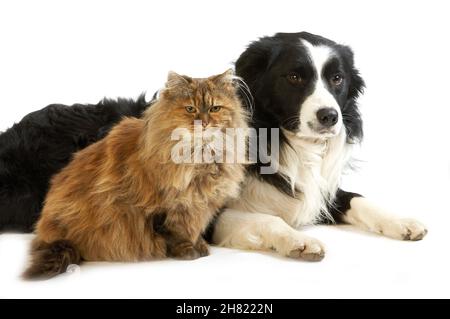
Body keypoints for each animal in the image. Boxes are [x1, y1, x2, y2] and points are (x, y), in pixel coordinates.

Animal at [23, 70, 250, 280]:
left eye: (214, 108)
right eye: (190, 109)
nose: (203, 123)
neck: (200, 159)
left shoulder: (200, 205)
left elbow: (193, 227)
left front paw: (200, 245)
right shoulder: (165, 207)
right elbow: (176, 233)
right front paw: (188, 251)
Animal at [209, 31, 428, 260]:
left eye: (337, 78)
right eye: (294, 77)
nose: (330, 116)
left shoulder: (322, 190)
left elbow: (357, 198)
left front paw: (401, 221)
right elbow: (269, 219)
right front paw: (300, 240)